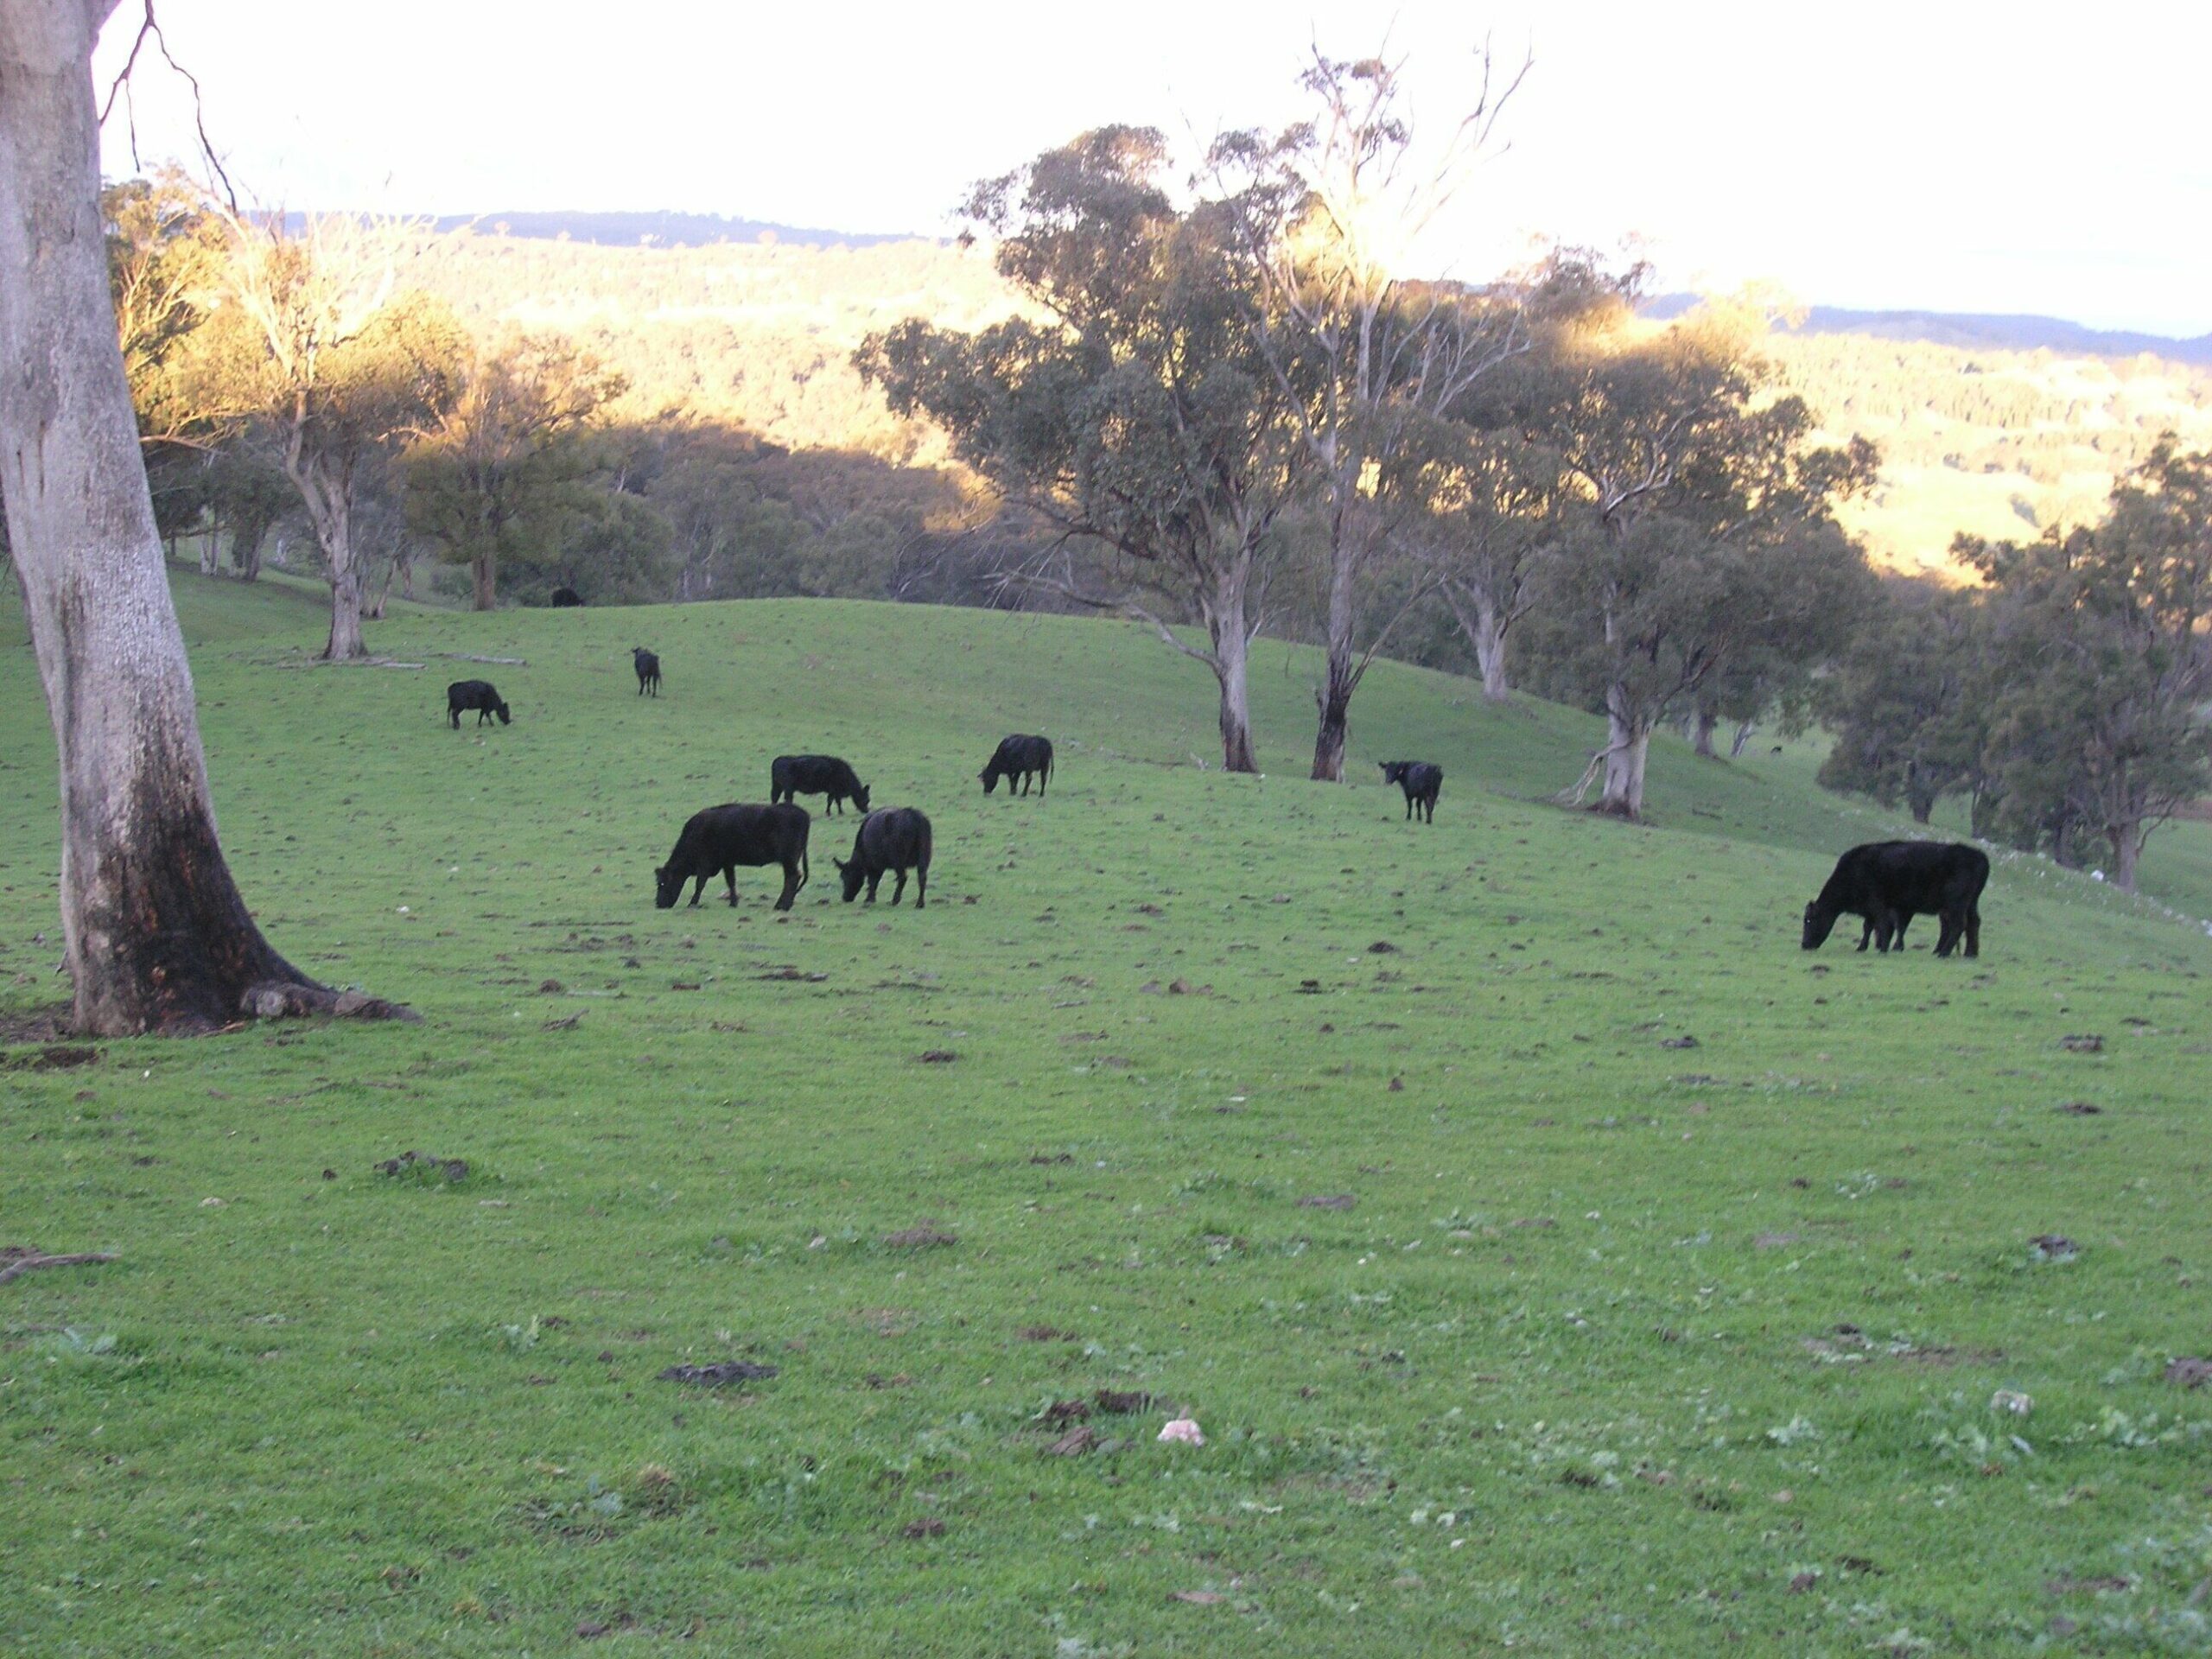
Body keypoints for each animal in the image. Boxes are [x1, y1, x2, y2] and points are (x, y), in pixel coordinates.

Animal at [654, 800, 814, 911]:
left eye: (661, 883)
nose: (658, 904)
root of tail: (802, 813)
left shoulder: (705, 863)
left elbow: (700, 883)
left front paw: (692, 903)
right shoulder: (727, 862)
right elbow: (731, 881)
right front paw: (733, 902)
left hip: (788, 859)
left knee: (792, 878)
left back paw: (782, 906)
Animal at [1796, 844, 1991, 960]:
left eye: (1809, 920)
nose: (1804, 945)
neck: (1853, 870)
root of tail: (1979, 856)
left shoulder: (1879, 905)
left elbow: (1883, 924)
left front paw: (1883, 948)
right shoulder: (1881, 909)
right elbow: (1870, 926)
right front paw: (1863, 947)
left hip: (1955, 905)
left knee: (1959, 925)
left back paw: (1943, 953)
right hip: (1970, 904)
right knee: (1974, 923)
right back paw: (1970, 953)